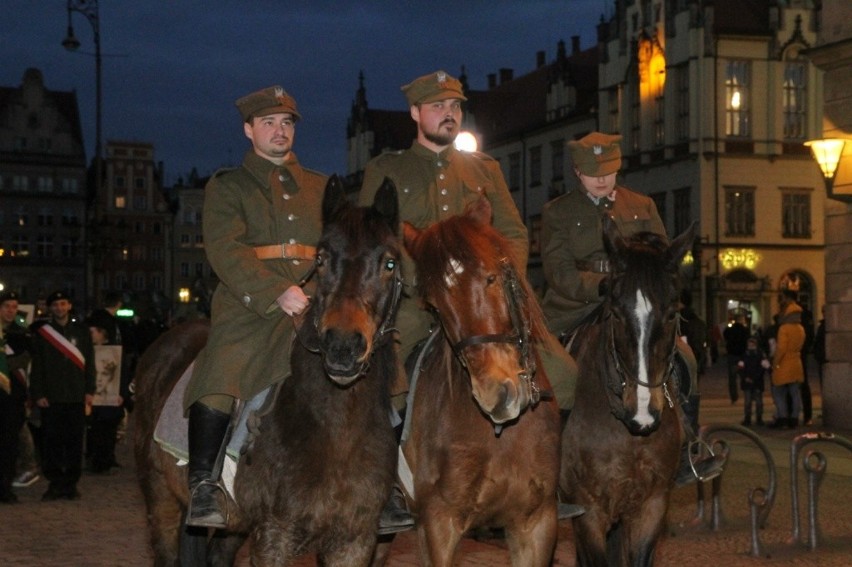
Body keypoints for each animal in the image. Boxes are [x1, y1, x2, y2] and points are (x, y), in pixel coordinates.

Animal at [134, 176, 406, 564]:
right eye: (321, 259)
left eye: (389, 263)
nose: (342, 347)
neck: (337, 427)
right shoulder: (275, 534)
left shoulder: (354, 540)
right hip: (161, 500)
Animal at [398, 196, 564, 567]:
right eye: (435, 305)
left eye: (490, 277)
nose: (497, 395)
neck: (501, 436)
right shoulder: (439, 524)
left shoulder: (536, 523)